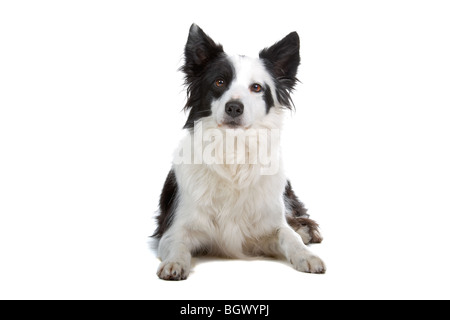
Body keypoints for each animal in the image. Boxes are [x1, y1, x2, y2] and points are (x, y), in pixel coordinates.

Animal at [153, 24, 326, 280]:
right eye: (219, 82)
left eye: (256, 88)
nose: (234, 107)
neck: (233, 151)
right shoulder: (175, 226)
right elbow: (177, 243)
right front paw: (174, 263)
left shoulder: (268, 225)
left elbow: (288, 235)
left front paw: (306, 255)